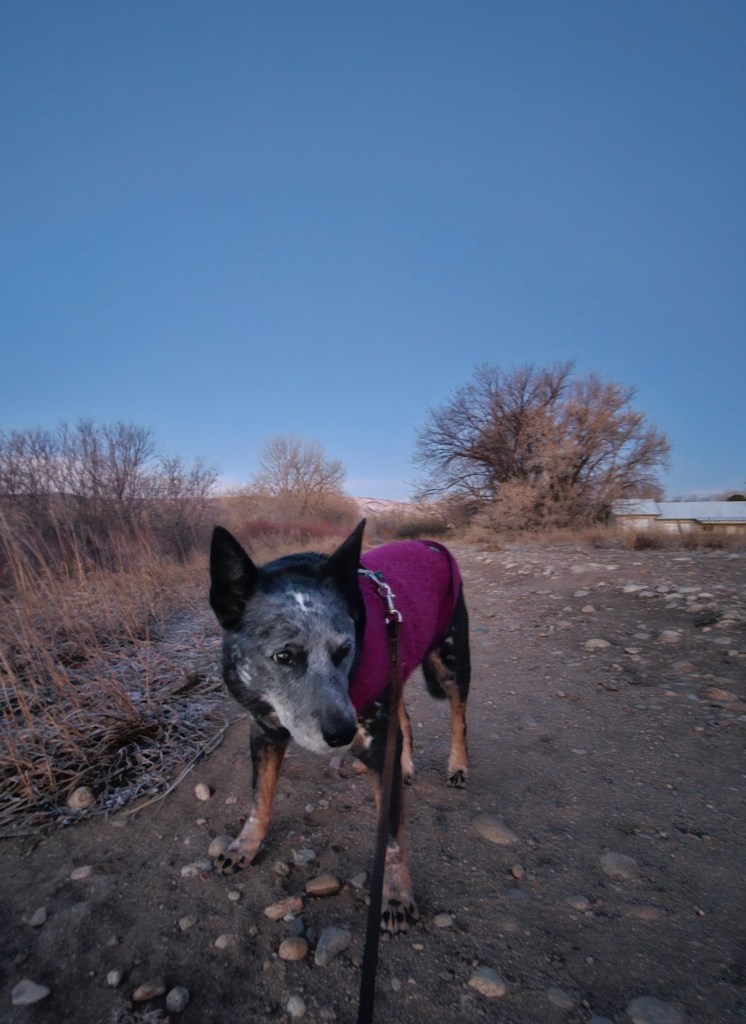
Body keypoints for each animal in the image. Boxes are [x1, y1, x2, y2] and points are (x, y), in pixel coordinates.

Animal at [208, 519, 470, 933]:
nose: (342, 734)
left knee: (458, 718)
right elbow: (259, 799)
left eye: (344, 650)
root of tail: (430, 544)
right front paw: (244, 845)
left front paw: (395, 895)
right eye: (284, 656)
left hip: (452, 660)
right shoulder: (264, 734)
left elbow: (391, 838)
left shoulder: (377, 745)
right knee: (403, 714)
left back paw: (458, 765)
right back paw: (407, 763)